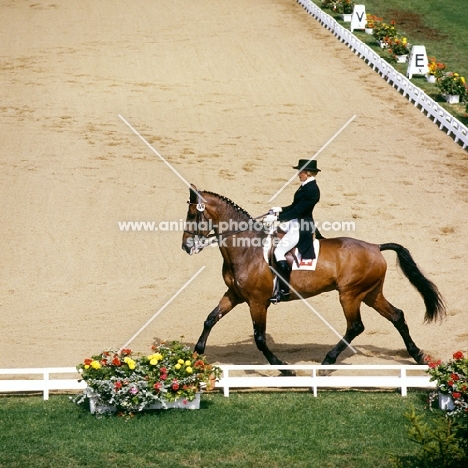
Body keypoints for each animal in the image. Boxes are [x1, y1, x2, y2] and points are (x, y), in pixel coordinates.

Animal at [181, 185, 444, 368]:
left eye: (193, 215)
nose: (185, 246)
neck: (247, 249)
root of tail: (375, 247)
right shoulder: (235, 294)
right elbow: (210, 319)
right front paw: (195, 356)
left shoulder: (257, 302)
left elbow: (260, 338)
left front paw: (282, 367)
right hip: (370, 293)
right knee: (397, 316)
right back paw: (418, 356)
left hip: (350, 295)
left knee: (355, 326)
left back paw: (328, 360)